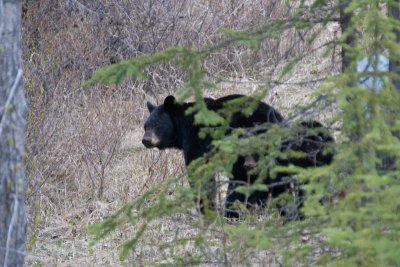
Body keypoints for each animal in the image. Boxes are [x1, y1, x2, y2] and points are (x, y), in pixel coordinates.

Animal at [142, 94, 282, 216]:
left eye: (156, 124)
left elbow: (199, 171)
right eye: (145, 126)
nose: (145, 140)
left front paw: (206, 210)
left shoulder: (196, 138)